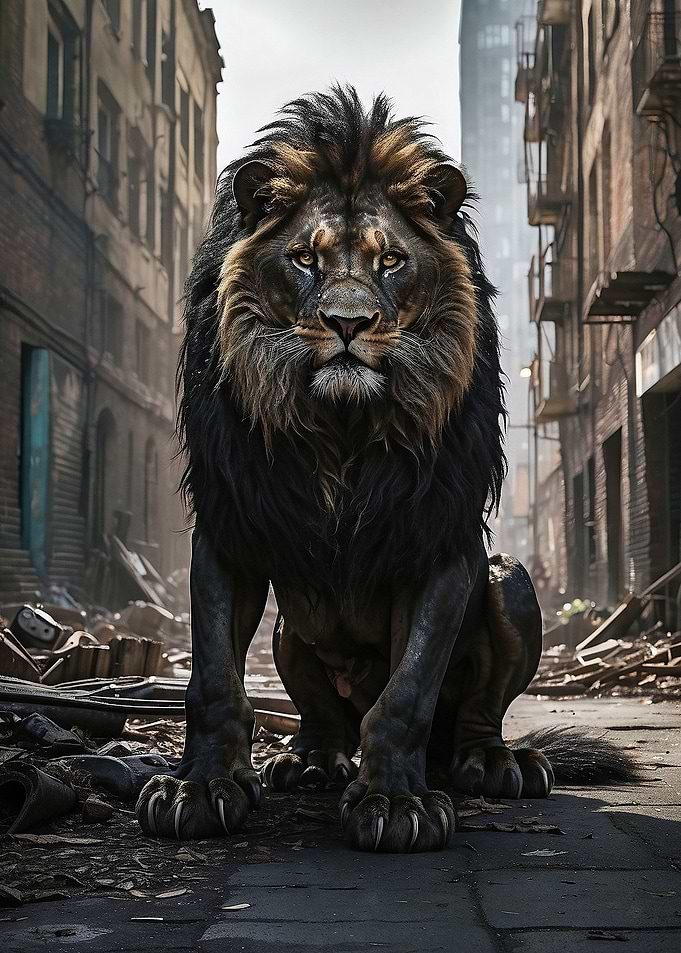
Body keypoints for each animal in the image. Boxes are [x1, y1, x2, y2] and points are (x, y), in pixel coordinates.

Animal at [136, 87, 636, 852]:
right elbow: (213, 677)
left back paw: (495, 764)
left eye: (392, 260)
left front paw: (396, 802)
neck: (340, 428)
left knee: (473, 717)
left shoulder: (437, 537)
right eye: (304, 259)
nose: (349, 323)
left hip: (509, 582)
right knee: (323, 714)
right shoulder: (232, 524)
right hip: (288, 634)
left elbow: (408, 691)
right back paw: (311, 759)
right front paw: (199, 789)